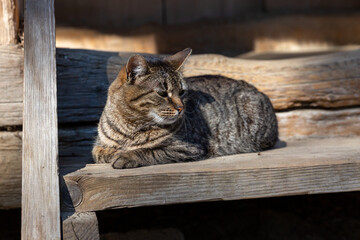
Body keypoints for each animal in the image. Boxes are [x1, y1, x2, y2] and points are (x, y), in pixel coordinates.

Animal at [93, 48, 278, 169]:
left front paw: (126, 155)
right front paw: (114, 152)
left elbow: (150, 151)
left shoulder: (188, 148)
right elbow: (100, 151)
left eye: (181, 92)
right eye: (162, 93)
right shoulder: (98, 146)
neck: (131, 126)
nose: (181, 108)